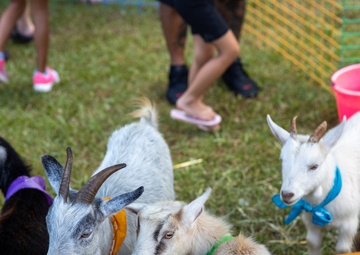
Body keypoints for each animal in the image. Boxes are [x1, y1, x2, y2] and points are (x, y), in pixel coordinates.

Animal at [268, 113, 360, 255]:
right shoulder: (311, 223)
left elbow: (342, 250)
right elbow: (312, 242)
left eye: (314, 166)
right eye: (282, 159)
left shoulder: (349, 225)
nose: (287, 194)